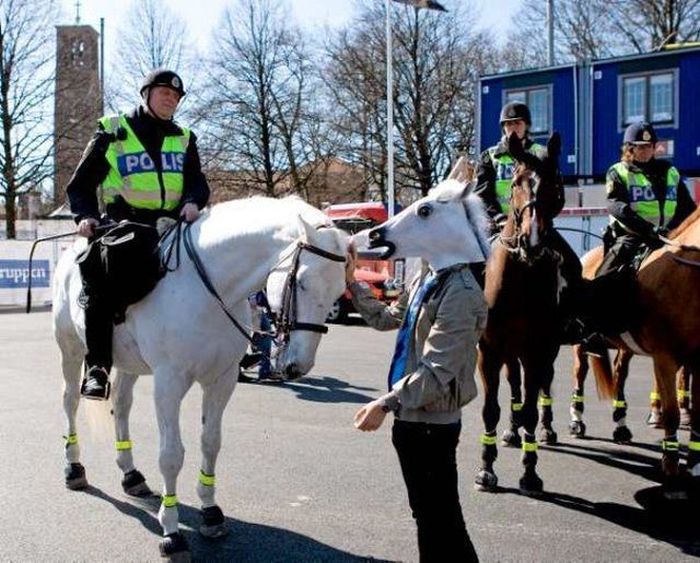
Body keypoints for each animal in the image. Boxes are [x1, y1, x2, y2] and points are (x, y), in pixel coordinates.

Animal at [53, 196, 348, 560]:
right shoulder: (169, 383)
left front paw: (210, 512)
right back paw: (73, 467)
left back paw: (131, 474)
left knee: (121, 405)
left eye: (339, 289)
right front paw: (171, 531)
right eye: (303, 282)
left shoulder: (222, 380)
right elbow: (171, 456)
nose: (298, 366)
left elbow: (211, 442)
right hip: (70, 350)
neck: (209, 291)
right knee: (70, 401)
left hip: (129, 364)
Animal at [476, 134, 568, 496]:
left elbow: (530, 408)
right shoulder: (488, 350)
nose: (532, 240)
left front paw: (530, 472)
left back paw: (545, 429)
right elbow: (490, 409)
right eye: (515, 182)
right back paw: (511, 431)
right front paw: (486, 469)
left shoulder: (538, 349)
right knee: (513, 384)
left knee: (544, 386)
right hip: (508, 352)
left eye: (554, 184)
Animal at [568, 247, 696, 446]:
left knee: (620, 373)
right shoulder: (665, 353)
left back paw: (621, 427)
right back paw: (576, 422)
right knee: (580, 373)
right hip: (580, 345)